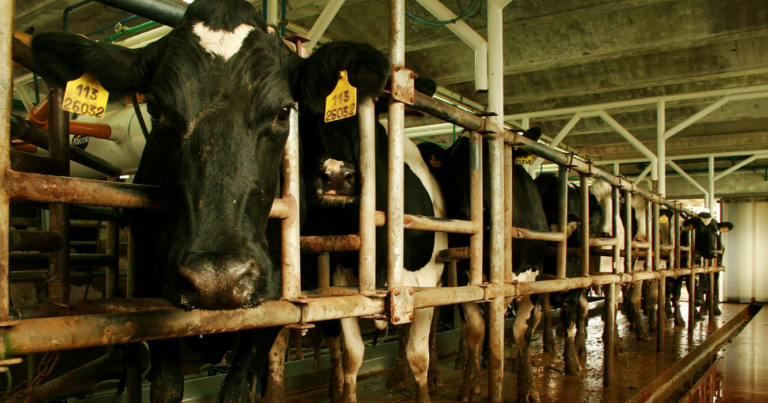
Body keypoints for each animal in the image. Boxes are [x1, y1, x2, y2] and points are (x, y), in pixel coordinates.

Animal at [30, 1, 390, 402]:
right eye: (155, 109)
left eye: (283, 110)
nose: (217, 279)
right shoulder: (150, 288)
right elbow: (167, 386)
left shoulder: (277, 291)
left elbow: (238, 387)